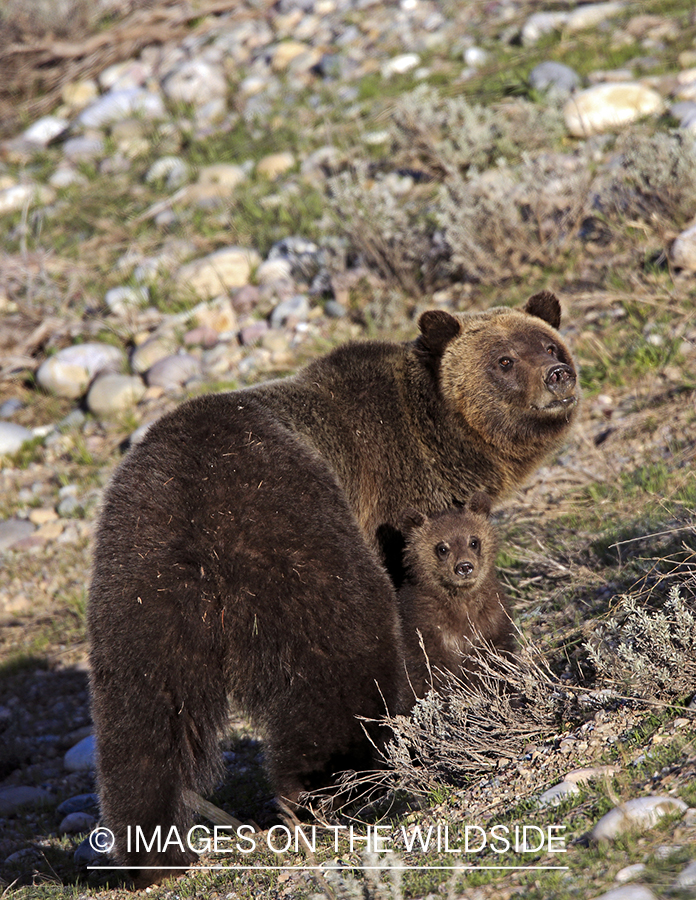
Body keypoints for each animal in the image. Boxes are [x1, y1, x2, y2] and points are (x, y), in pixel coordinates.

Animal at [396, 492, 516, 696]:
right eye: (442, 548)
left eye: (473, 541)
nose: (464, 566)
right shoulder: (424, 631)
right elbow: (428, 676)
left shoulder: (492, 623)